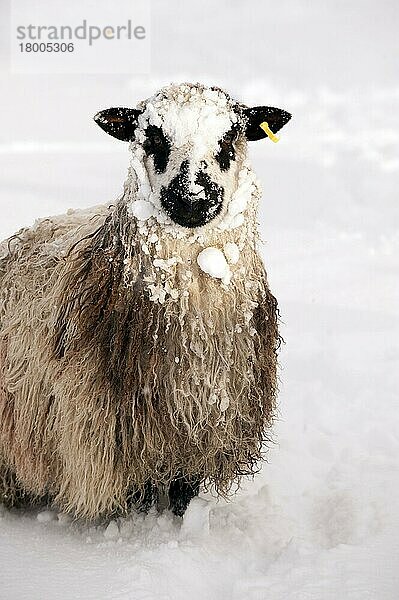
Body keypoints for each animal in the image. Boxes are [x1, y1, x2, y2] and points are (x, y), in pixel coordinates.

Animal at [0, 82, 290, 516]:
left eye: (228, 139)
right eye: (154, 138)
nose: (192, 198)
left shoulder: (200, 431)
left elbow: (183, 491)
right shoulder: (124, 433)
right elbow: (140, 495)